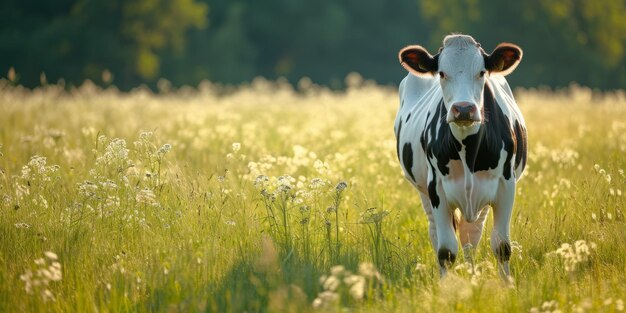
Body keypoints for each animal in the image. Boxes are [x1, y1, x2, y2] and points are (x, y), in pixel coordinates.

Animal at [394, 34, 528, 278]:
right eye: (441, 73)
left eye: (482, 72)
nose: (464, 109)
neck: (468, 151)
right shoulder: (436, 189)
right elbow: (445, 250)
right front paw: (446, 286)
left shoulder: (506, 186)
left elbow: (502, 246)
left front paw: (507, 284)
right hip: (423, 191)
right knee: (437, 233)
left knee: (471, 235)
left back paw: (471, 272)